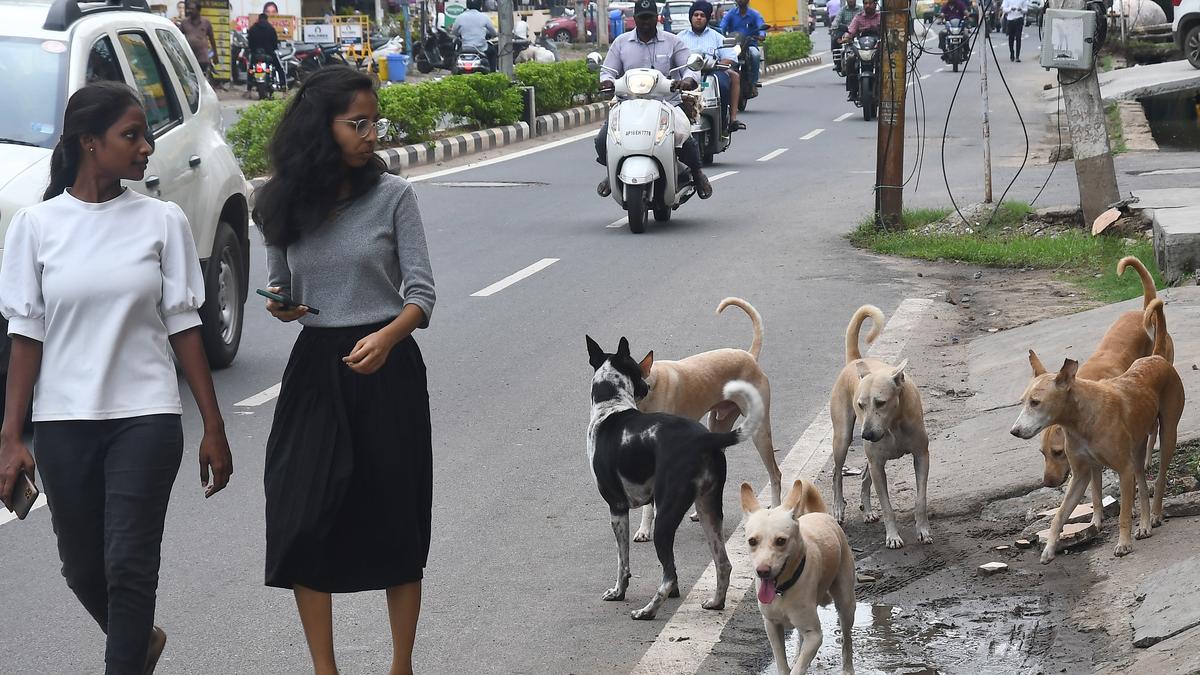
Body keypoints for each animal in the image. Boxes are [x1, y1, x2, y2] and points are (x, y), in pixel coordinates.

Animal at [585, 333, 763, 619]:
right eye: (638, 371)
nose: (646, 387)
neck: (611, 407)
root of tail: (704, 438)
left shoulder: (617, 508)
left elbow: (623, 561)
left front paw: (618, 592)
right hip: (708, 511)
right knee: (723, 564)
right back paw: (716, 602)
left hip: (665, 518)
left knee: (668, 575)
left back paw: (647, 610)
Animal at [633, 296, 782, 538]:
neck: (650, 388)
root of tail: (749, 356)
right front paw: (645, 529)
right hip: (718, 425)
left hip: (760, 432)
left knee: (776, 474)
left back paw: (777, 509)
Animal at [734, 478, 859, 672]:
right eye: (752, 541)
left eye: (781, 541)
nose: (762, 570)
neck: (781, 590)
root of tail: (820, 514)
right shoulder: (771, 626)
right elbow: (782, 662)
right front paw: (791, 663)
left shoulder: (815, 635)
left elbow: (798, 669)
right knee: (801, 640)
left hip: (846, 604)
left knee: (847, 640)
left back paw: (847, 669)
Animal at [830, 305, 931, 547]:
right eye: (860, 404)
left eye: (881, 402)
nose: (866, 434)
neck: (893, 424)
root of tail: (854, 360)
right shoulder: (877, 463)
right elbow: (887, 507)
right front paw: (893, 536)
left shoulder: (921, 456)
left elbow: (920, 499)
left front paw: (923, 530)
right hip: (843, 438)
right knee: (837, 473)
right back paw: (838, 508)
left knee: (864, 477)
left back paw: (867, 511)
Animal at [1012, 307, 1180, 559]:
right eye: (1023, 401)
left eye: (1036, 402)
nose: (1014, 431)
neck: (1081, 420)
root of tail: (1157, 357)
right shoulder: (1080, 475)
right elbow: (1061, 513)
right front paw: (1050, 547)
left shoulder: (1124, 469)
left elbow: (1123, 513)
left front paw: (1123, 543)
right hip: (1137, 450)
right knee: (1142, 484)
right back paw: (1144, 525)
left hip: (1167, 434)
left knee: (1159, 479)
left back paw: (1156, 515)